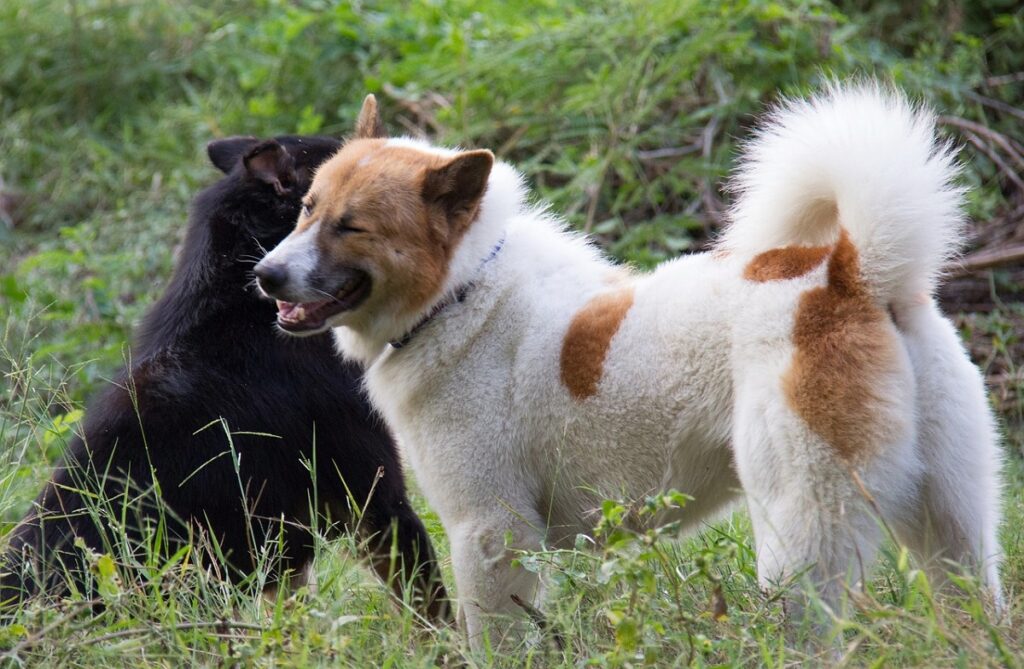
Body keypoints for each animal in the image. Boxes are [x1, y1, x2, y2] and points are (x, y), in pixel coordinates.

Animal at [253, 86, 999, 643]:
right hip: (955, 527)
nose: (264, 276)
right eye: (306, 208)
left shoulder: (489, 531)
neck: (462, 292)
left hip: (801, 536)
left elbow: (494, 637)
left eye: (352, 225)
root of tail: (851, 274)